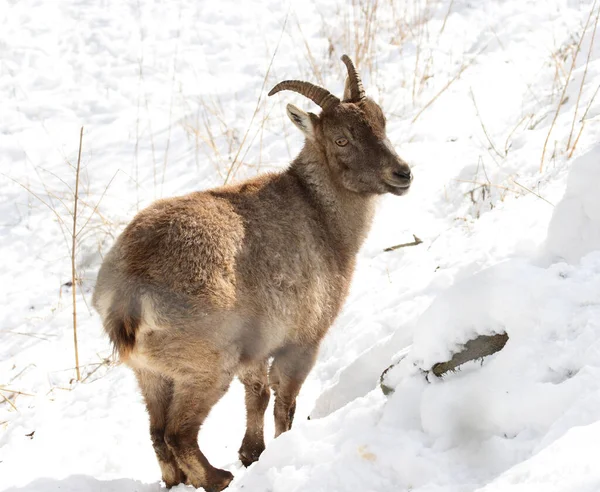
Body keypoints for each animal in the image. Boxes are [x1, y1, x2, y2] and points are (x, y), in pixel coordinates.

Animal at [92, 54, 412, 492]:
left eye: (381, 120)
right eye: (341, 140)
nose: (402, 173)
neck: (320, 214)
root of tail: (128, 293)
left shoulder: (256, 348)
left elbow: (256, 394)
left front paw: (252, 453)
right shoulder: (303, 339)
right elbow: (284, 401)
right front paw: (277, 450)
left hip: (150, 374)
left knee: (157, 432)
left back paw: (182, 479)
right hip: (207, 366)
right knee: (178, 432)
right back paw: (217, 478)